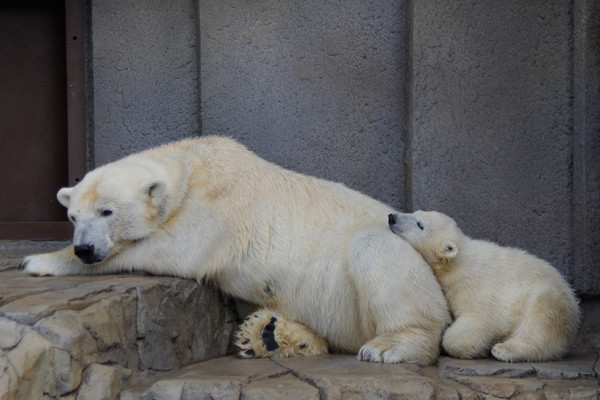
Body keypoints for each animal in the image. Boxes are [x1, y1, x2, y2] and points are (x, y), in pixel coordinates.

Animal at [19, 137, 450, 366]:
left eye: (106, 211)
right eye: (73, 216)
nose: (85, 248)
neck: (192, 165)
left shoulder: (222, 205)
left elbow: (180, 250)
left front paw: (38, 260)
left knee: (377, 251)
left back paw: (391, 346)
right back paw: (269, 335)